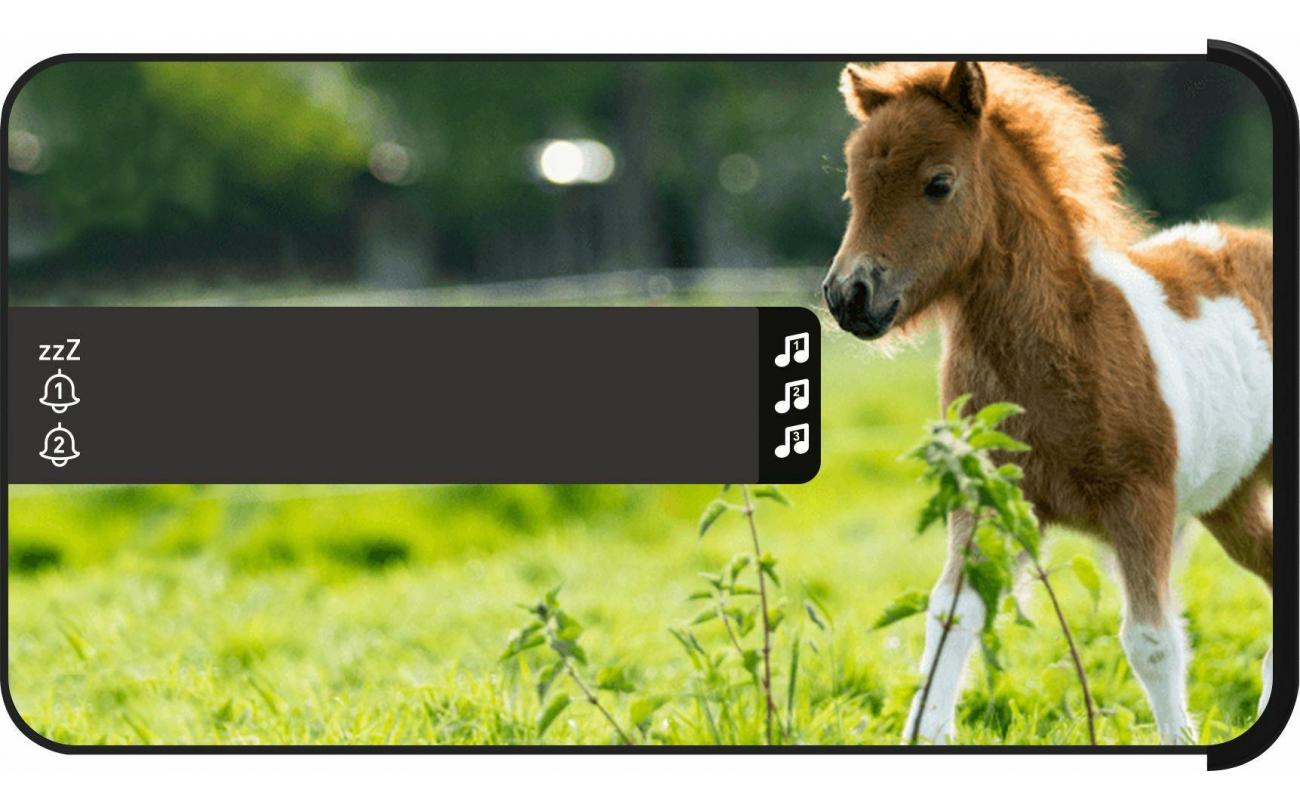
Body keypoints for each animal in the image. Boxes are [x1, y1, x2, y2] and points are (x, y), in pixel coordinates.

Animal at [822, 61, 1273, 744]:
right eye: (854, 188)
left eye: (938, 183)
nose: (850, 296)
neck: (1066, 341)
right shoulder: (989, 498)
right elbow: (950, 617)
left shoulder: (1142, 503)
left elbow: (1151, 642)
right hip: (1232, 501)